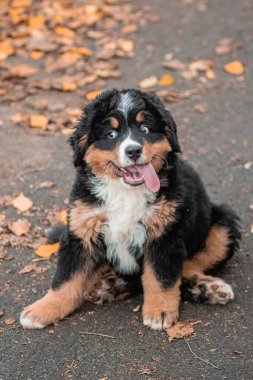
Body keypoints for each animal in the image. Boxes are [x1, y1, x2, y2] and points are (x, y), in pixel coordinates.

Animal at [20, 88, 241, 330]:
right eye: (111, 134)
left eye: (145, 129)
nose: (134, 151)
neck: (125, 191)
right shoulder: (83, 229)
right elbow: (65, 278)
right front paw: (43, 309)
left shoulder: (166, 233)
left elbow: (161, 277)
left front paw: (160, 310)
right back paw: (112, 286)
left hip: (223, 225)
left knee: (189, 266)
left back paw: (208, 288)